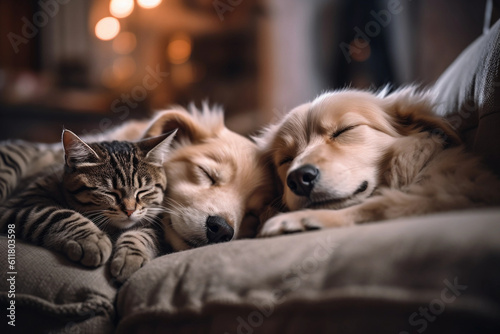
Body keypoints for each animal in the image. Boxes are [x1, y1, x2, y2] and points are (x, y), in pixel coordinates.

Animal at [0, 129, 176, 284]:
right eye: (109, 192)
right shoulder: (18, 204)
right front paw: (92, 239)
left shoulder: (154, 222)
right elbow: (57, 214)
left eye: (144, 190)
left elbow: (142, 233)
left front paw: (131, 257)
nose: (129, 210)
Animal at [256, 87, 500, 236]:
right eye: (285, 159)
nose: (299, 178)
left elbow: (377, 206)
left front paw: (303, 218)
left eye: (345, 130)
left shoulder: (460, 191)